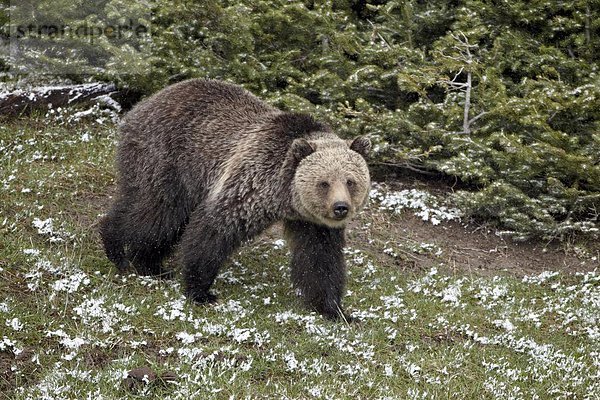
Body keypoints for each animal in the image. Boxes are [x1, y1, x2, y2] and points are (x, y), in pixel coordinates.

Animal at [100, 79, 368, 320]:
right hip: (167, 160)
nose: (340, 208)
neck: (285, 197)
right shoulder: (251, 181)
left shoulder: (313, 222)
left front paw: (335, 310)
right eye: (324, 183)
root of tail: (141, 106)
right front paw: (201, 292)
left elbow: (320, 259)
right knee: (159, 215)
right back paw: (124, 251)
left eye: (350, 181)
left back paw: (142, 260)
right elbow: (214, 230)